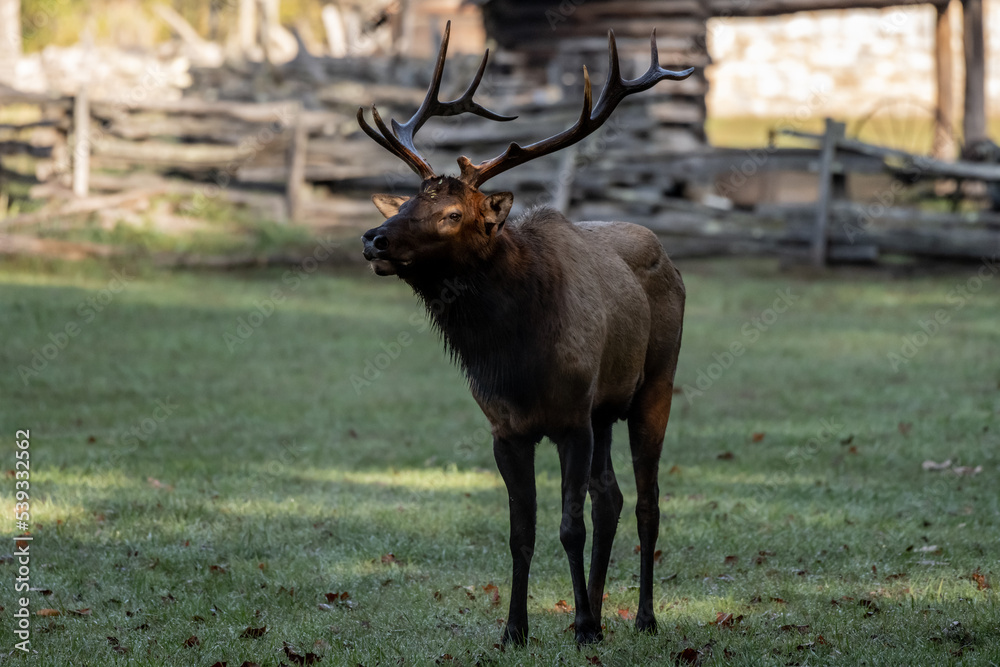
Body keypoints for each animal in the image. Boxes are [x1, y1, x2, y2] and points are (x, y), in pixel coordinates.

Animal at [362, 23, 696, 644]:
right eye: (410, 201)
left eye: (453, 214)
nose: (373, 237)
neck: (516, 359)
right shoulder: (506, 428)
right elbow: (523, 532)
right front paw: (516, 628)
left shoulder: (571, 420)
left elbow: (569, 525)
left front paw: (584, 625)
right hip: (605, 407)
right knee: (611, 497)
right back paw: (600, 609)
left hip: (654, 385)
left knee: (646, 502)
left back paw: (641, 617)